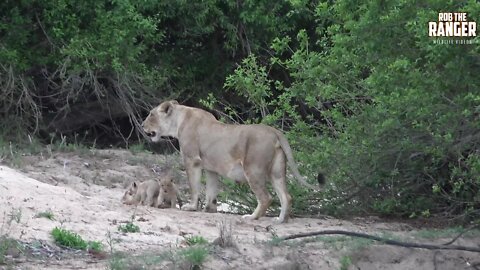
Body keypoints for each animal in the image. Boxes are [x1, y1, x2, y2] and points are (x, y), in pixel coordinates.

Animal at [142, 100, 318, 223]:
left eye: (151, 114)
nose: (142, 125)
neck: (179, 120)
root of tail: (274, 131)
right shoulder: (210, 168)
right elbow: (211, 190)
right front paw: (210, 209)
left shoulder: (192, 160)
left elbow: (194, 187)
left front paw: (191, 207)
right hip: (277, 172)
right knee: (286, 196)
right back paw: (280, 220)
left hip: (253, 169)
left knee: (266, 197)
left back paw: (251, 217)